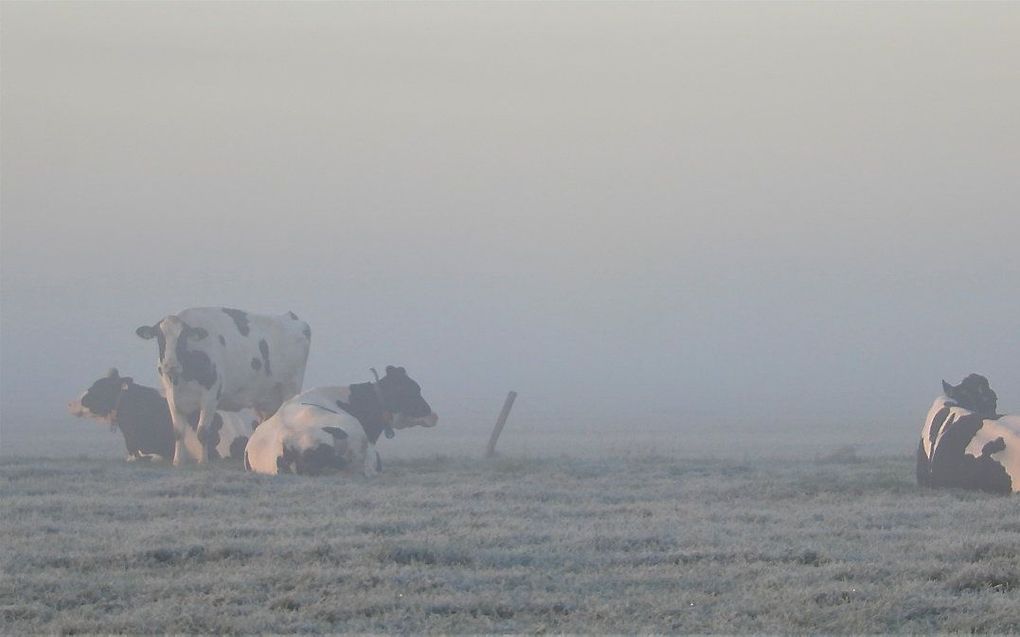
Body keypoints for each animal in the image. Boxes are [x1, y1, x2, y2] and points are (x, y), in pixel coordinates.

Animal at [135, 305, 310, 464]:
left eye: (183, 337)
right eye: (160, 337)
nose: (170, 365)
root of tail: (291, 317)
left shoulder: (210, 397)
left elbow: (202, 432)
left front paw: (203, 461)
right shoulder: (172, 398)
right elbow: (178, 432)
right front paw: (178, 460)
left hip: (291, 389)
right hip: (264, 400)